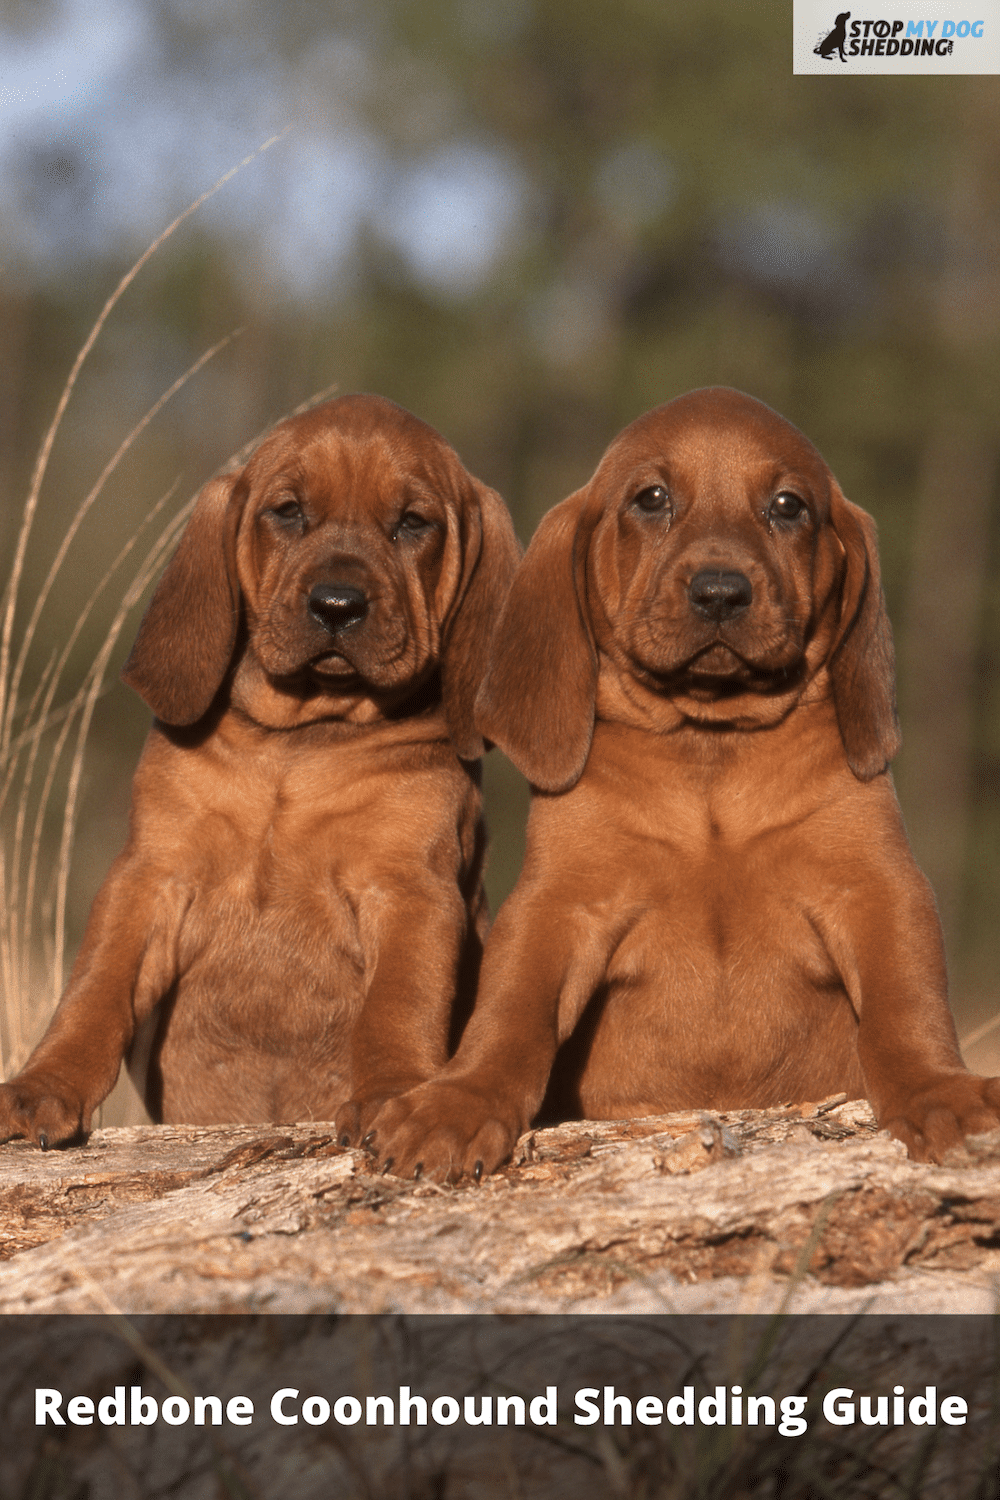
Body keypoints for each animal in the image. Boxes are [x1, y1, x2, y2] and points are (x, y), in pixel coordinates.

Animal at [0, 396, 521, 1146]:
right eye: (288, 512)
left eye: (413, 524)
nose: (337, 604)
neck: (298, 745)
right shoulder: (150, 875)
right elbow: (94, 989)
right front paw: (43, 1085)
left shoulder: (411, 891)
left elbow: (400, 1003)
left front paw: (391, 1094)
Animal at [365, 387, 1000, 1182]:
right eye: (652, 499)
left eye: (788, 506)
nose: (721, 592)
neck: (710, 752)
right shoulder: (557, 904)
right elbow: (509, 1012)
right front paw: (459, 1101)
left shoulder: (876, 887)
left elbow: (906, 1004)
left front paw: (938, 1091)